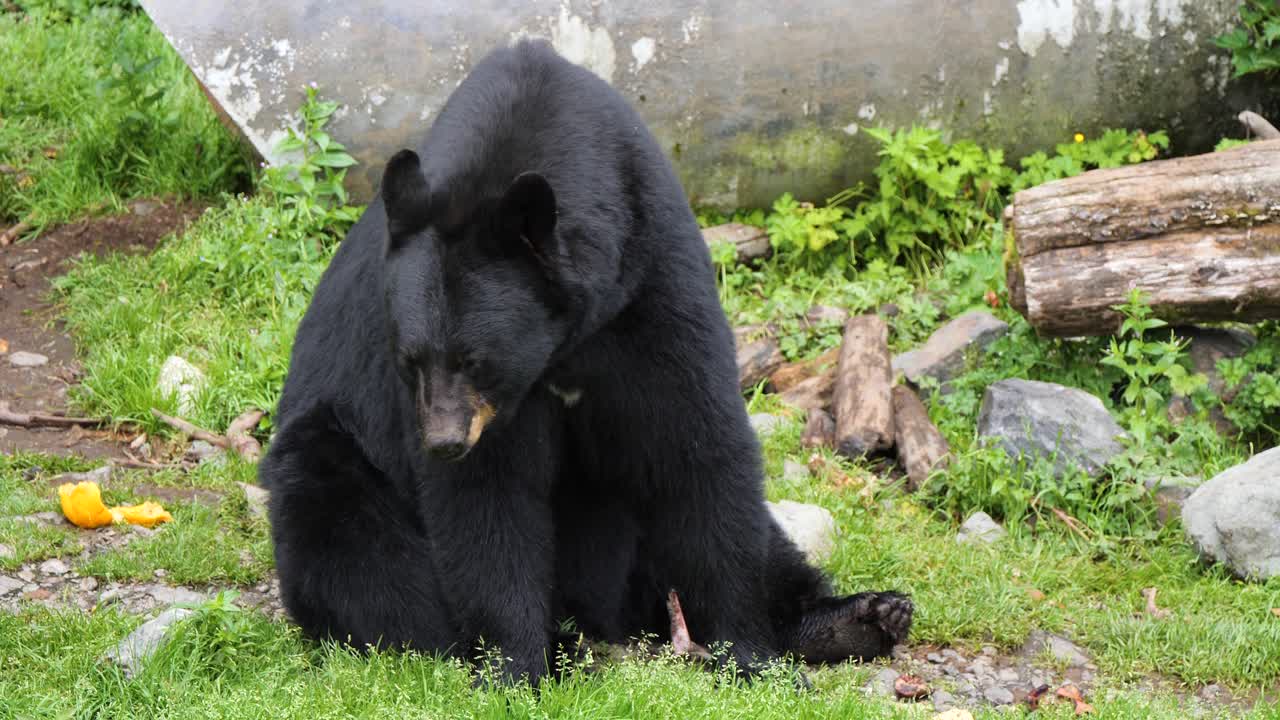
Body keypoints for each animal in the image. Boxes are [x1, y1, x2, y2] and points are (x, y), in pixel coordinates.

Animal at [260, 37, 912, 686]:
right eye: (410, 360)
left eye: (476, 360)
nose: (443, 442)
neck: (563, 344)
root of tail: (614, 615)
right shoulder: (470, 406)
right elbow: (487, 496)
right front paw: (513, 668)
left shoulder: (652, 282)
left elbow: (699, 448)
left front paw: (752, 654)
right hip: (333, 461)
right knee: (359, 550)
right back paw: (560, 645)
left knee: (767, 538)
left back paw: (862, 617)